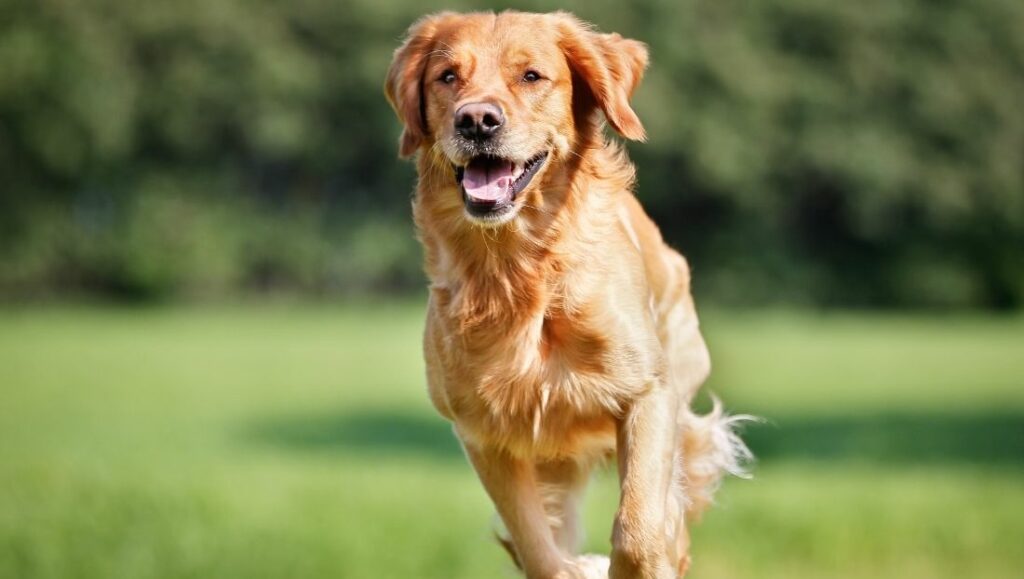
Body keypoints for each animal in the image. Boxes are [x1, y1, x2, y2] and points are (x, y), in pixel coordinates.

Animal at [385, 10, 753, 577]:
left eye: (531, 76)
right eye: (447, 77)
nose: (476, 120)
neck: (518, 267)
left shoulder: (648, 393)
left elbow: (640, 528)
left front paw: (638, 556)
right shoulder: (482, 433)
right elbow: (538, 549)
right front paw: (575, 566)